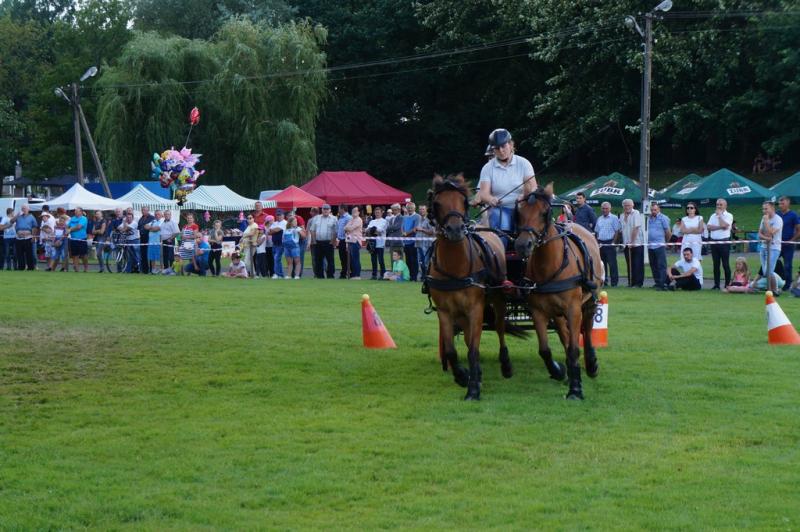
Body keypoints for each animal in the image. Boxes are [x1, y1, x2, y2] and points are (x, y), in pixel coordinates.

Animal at [425, 173, 522, 400]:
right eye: (437, 203)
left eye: (463, 201)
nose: (455, 230)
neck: (455, 266)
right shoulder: (445, 311)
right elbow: (452, 349)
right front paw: (462, 375)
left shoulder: (475, 308)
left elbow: (474, 349)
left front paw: (473, 390)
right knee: (469, 336)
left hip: (497, 298)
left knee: (499, 328)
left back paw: (505, 364)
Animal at [514, 184, 603, 400]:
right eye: (519, 213)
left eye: (544, 213)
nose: (522, 245)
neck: (551, 265)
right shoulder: (538, 311)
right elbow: (545, 349)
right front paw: (559, 371)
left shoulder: (573, 309)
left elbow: (574, 347)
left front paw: (576, 389)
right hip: (557, 312)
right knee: (565, 335)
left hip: (589, 301)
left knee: (587, 329)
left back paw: (590, 364)